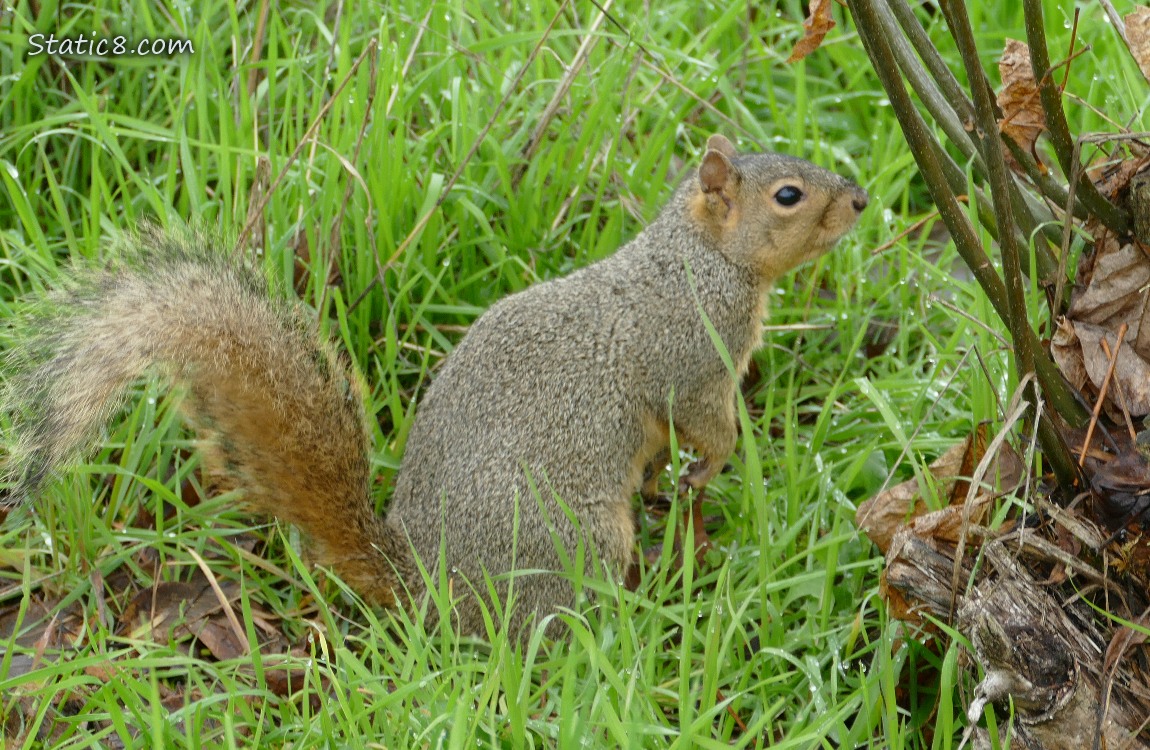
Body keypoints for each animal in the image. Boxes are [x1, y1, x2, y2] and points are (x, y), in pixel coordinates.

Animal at [2, 134, 867, 639]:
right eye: (788, 196)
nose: (859, 200)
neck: (702, 257)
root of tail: (424, 587)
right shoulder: (693, 357)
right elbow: (707, 423)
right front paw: (713, 466)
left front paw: (667, 480)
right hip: (566, 542)